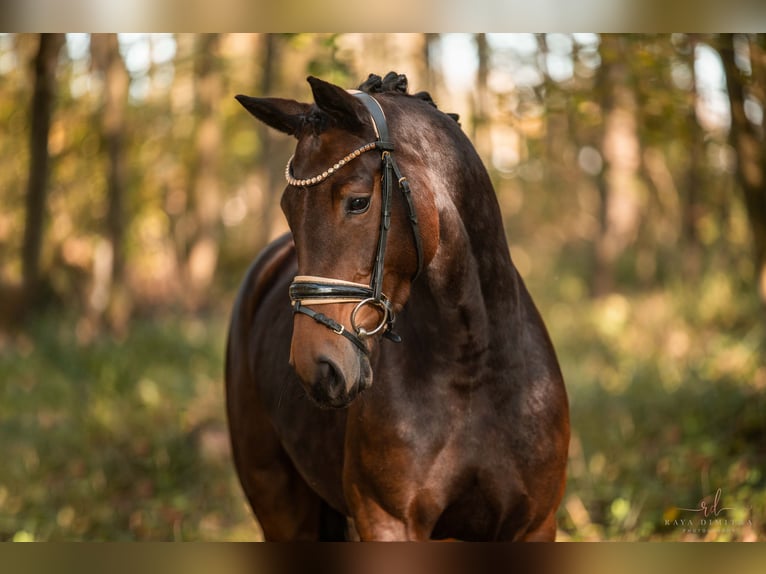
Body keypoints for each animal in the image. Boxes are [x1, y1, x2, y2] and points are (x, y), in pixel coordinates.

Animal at [224, 73, 568, 544]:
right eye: (288, 210)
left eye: (358, 201)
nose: (317, 367)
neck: (472, 365)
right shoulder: (386, 521)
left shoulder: (534, 525)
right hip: (275, 497)